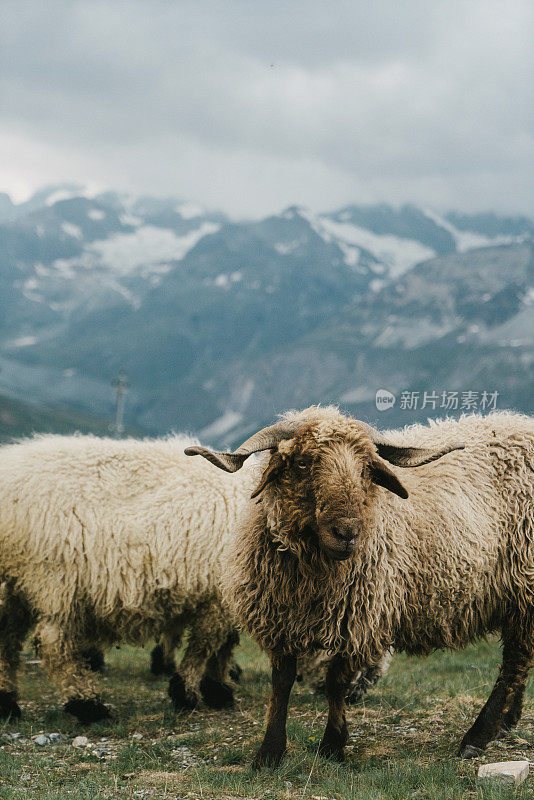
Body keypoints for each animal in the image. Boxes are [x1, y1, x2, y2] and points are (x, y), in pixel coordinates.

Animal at [187, 410, 534, 764]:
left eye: (366, 466)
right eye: (302, 462)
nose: (347, 533)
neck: (313, 570)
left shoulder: (358, 619)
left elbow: (336, 682)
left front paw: (332, 744)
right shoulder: (281, 619)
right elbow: (281, 684)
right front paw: (270, 753)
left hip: (524, 587)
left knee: (515, 662)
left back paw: (479, 735)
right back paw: (506, 723)